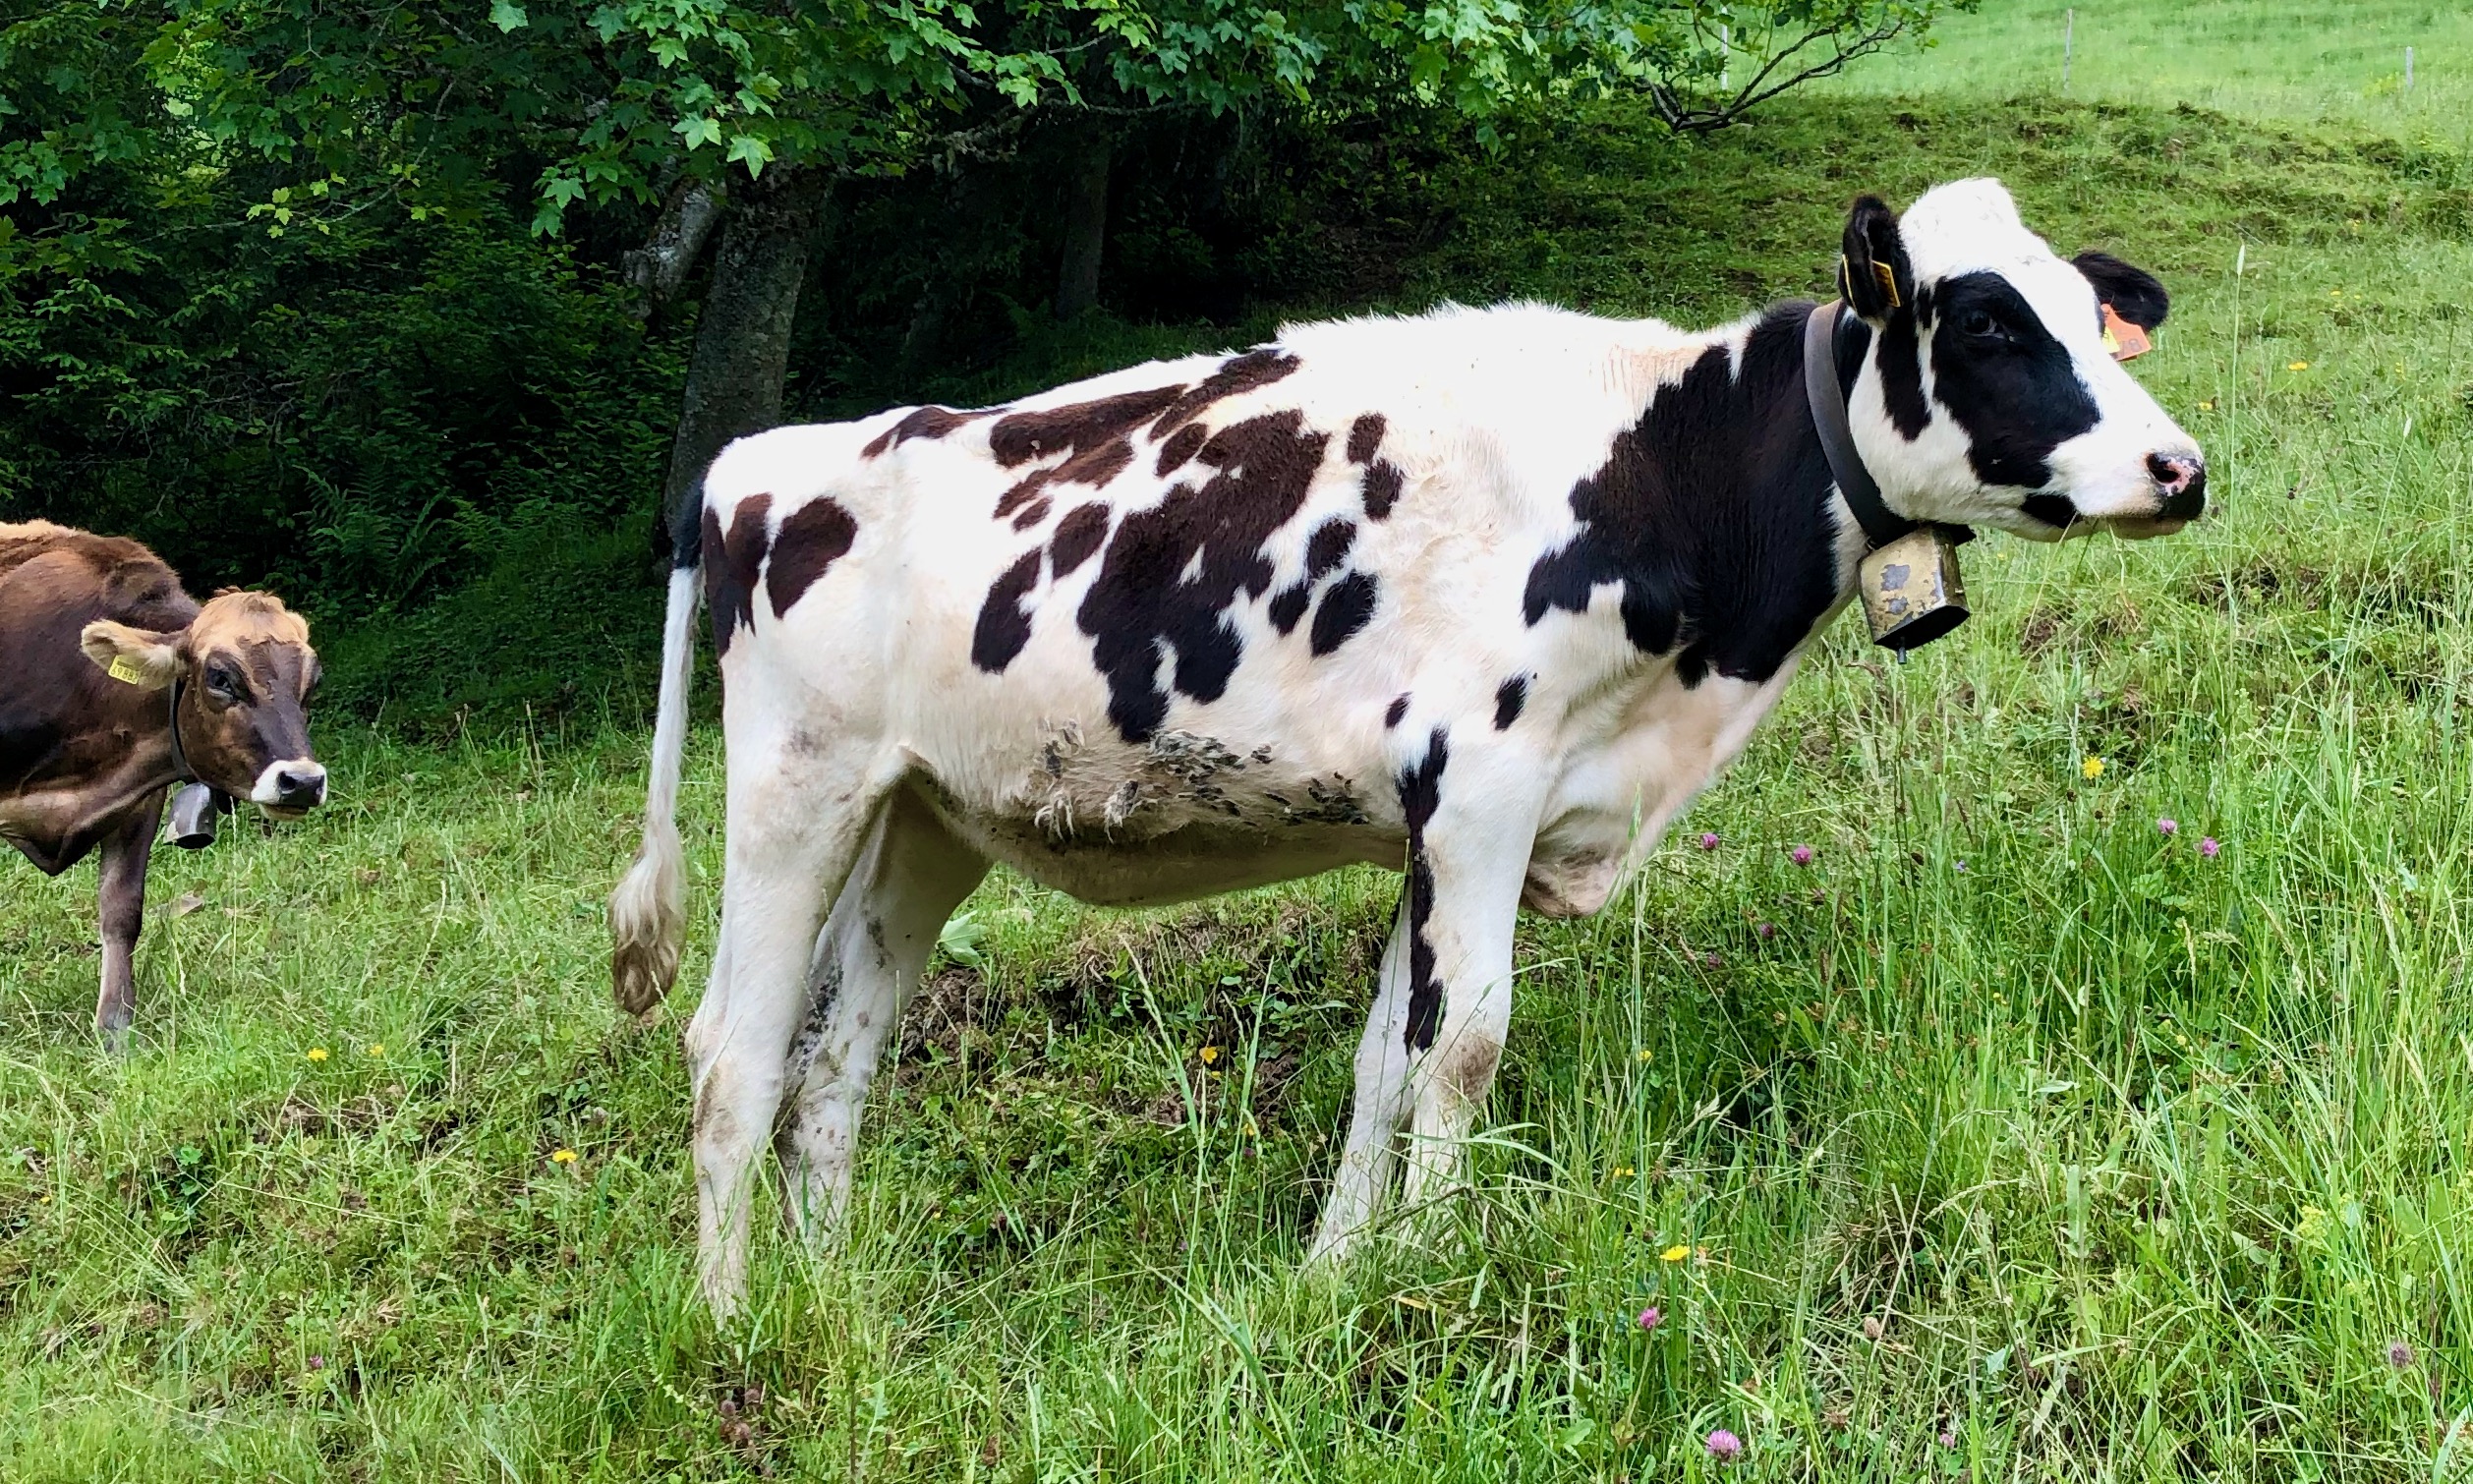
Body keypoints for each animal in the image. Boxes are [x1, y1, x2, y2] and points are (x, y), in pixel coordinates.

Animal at [0, 521, 328, 1046]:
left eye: (312, 683)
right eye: (220, 677)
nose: (301, 782)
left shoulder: (140, 800)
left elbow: (122, 910)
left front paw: (115, 1029)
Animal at [608, 178, 2207, 1315]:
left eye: (2094, 313)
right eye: (1987, 324)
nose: (2180, 468)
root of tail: (754, 463)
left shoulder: (1437, 824)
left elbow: (1390, 1056)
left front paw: (1340, 1275)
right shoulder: (1482, 787)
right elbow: (1467, 1046)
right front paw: (1433, 1273)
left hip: (923, 818)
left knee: (832, 1065)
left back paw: (835, 1303)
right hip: (792, 789)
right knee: (730, 1054)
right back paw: (733, 1327)